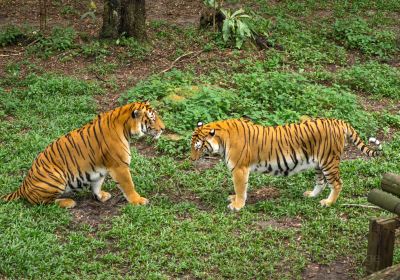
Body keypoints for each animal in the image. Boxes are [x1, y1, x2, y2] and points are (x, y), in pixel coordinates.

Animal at [1, 100, 164, 208]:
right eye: (152, 118)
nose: (163, 128)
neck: (125, 129)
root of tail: (23, 186)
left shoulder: (100, 168)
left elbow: (97, 184)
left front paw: (100, 196)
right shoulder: (120, 166)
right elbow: (128, 185)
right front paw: (138, 200)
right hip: (56, 177)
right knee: (41, 202)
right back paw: (68, 202)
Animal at [191, 117, 382, 211]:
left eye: (198, 147)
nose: (192, 159)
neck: (222, 139)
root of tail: (338, 121)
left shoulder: (239, 169)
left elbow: (240, 188)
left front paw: (237, 205)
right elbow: (240, 189)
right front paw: (234, 199)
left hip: (329, 162)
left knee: (337, 183)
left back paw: (328, 203)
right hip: (319, 164)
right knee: (321, 182)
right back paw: (312, 195)